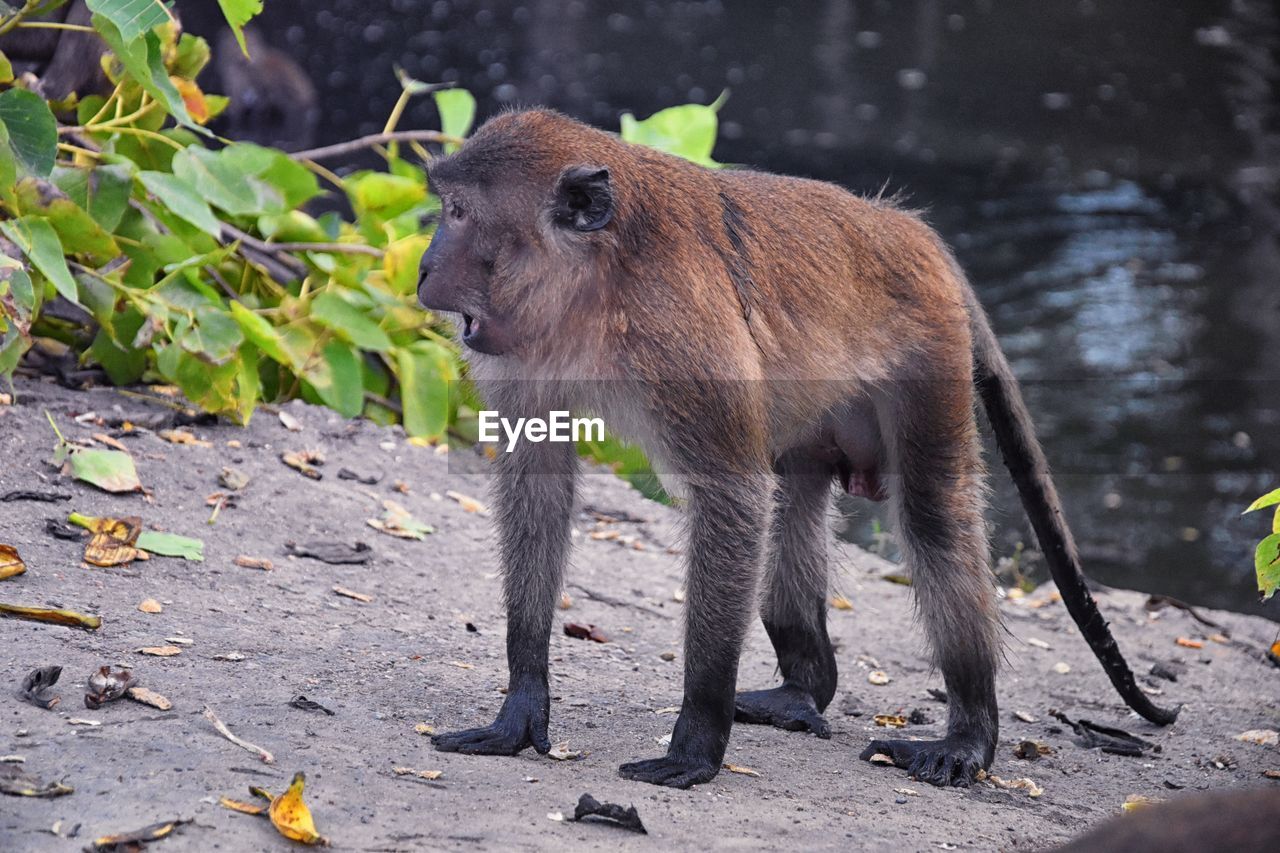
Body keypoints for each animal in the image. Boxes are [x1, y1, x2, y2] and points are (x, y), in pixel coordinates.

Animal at [414, 109, 1172, 788]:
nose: (422, 268)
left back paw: (970, 733)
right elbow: (539, 474)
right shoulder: (522, 346)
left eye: (457, 212)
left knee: (929, 514)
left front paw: (699, 736)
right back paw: (805, 689)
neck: (599, 282)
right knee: (797, 492)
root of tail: (906, 228)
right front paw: (523, 702)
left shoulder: (681, 333)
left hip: (930, 352)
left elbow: (731, 495)